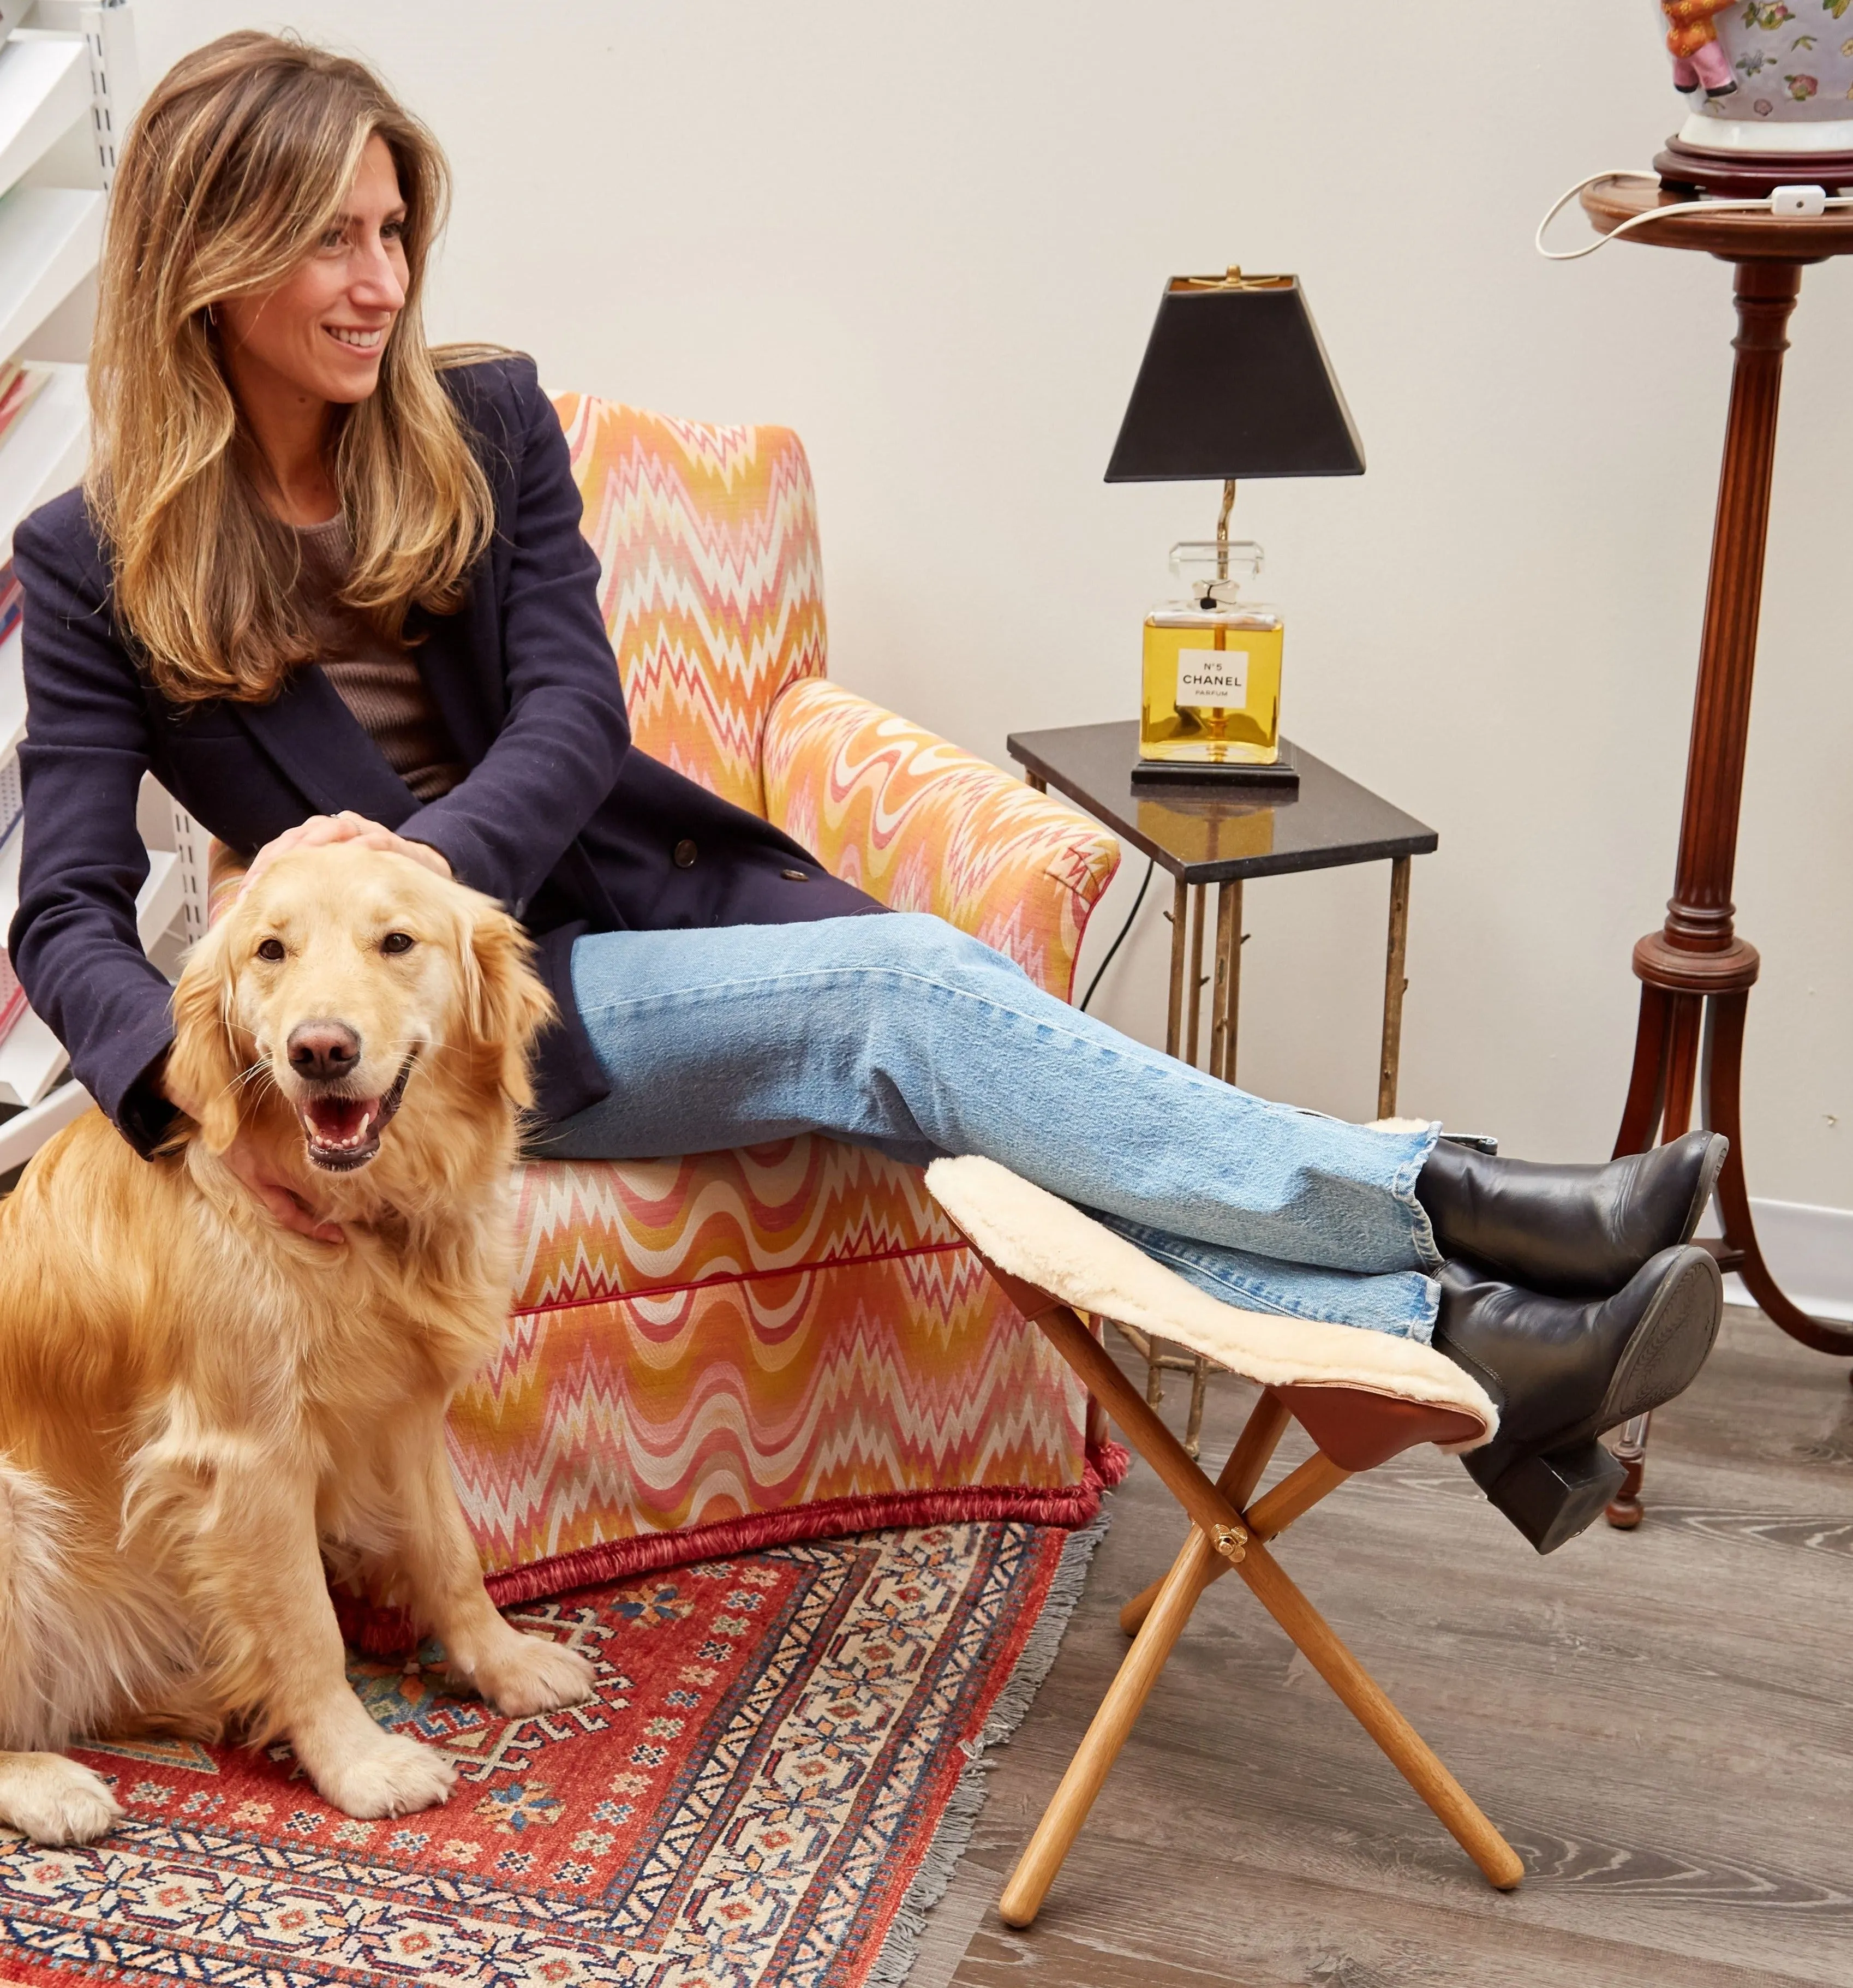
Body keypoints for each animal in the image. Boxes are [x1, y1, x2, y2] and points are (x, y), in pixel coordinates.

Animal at [0, 843, 592, 1844]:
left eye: (397, 941)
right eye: (271, 950)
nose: (321, 1050)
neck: (352, 1218)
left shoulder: (402, 1414)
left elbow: (451, 1555)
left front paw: (503, 1662)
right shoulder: (249, 1457)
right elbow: (308, 1625)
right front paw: (358, 1761)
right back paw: (53, 1781)